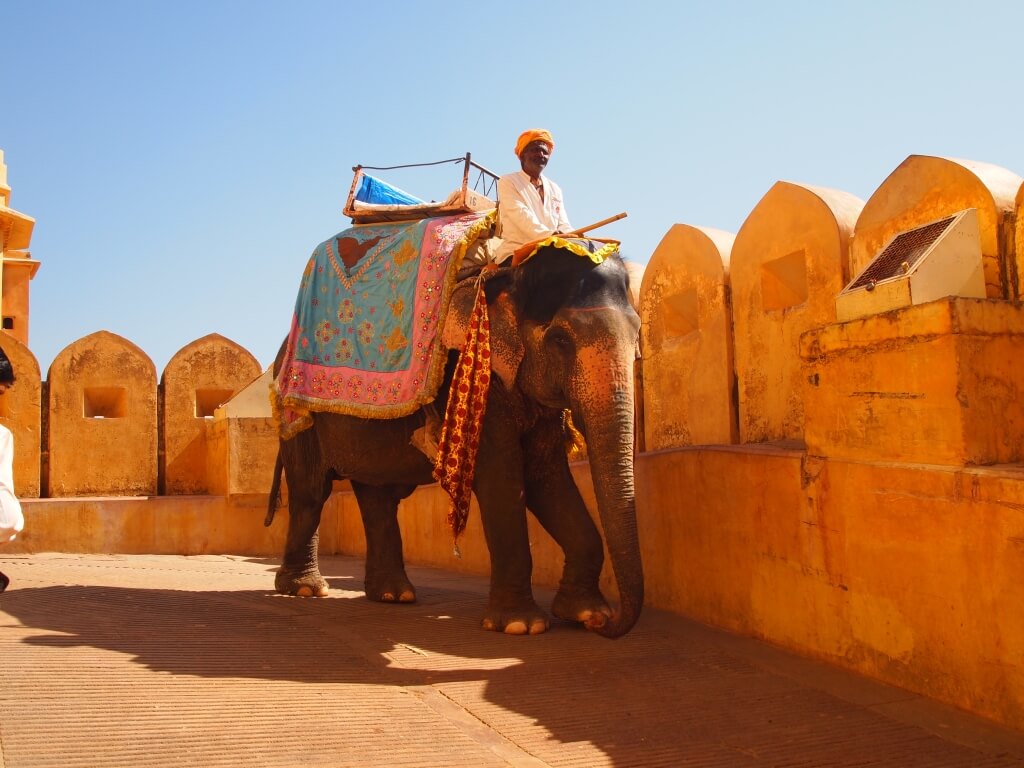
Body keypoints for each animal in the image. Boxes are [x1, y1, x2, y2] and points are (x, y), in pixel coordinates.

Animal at [268, 243, 643, 638]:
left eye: (637, 336)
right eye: (560, 340)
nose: (608, 625)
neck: (510, 273)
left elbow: (547, 478)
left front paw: (585, 613)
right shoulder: (473, 373)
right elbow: (503, 480)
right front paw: (520, 626)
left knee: (376, 496)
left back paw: (393, 595)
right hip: (299, 419)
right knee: (311, 493)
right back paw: (306, 589)